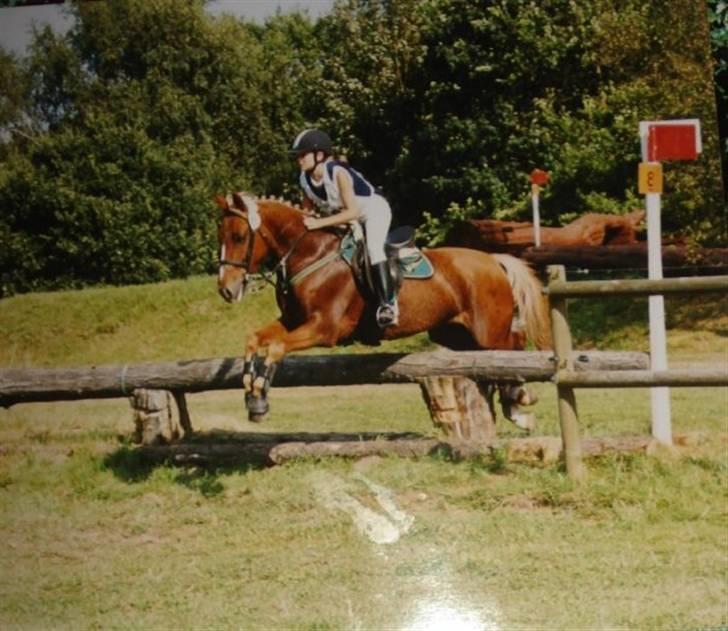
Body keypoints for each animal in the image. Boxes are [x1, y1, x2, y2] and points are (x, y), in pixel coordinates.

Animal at [216, 191, 551, 428]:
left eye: (239, 237)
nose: (226, 289)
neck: (311, 254)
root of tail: (492, 259)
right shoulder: (292, 320)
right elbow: (255, 339)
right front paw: (252, 395)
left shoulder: (324, 329)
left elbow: (276, 347)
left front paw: (259, 394)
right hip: (455, 334)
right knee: (498, 356)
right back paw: (514, 404)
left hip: (487, 331)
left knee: (513, 349)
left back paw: (519, 401)